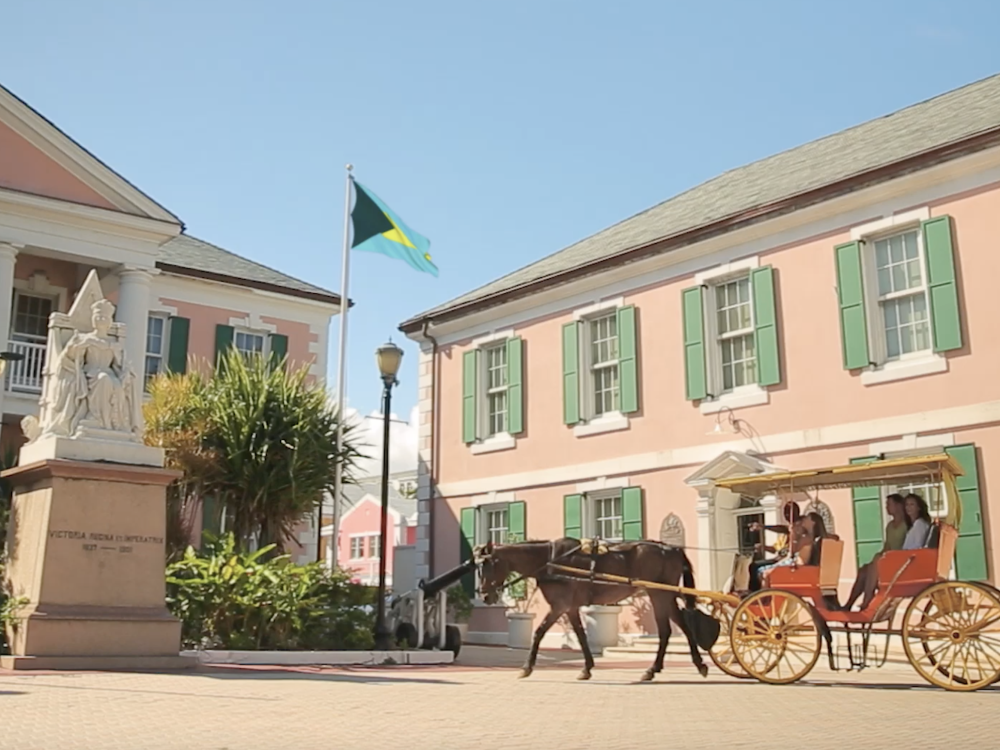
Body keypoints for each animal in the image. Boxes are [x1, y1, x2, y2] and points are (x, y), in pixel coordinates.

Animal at [478, 536, 708, 684]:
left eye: (488, 565)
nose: (485, 596)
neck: (551, 561)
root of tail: (671, 549)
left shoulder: (559, 606)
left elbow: (539, 632)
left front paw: (527, 667)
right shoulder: (570, 608)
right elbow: (581, 635)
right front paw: (587, 667)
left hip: (659, 594)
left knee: (667, 630)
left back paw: (658, 669)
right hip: (664, 595)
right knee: (679, 628)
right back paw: (683, 665)